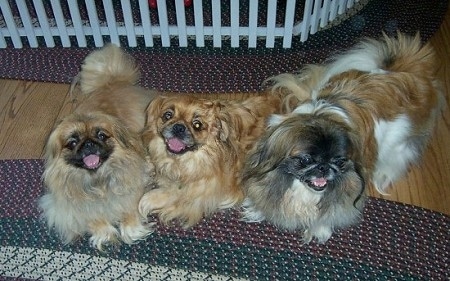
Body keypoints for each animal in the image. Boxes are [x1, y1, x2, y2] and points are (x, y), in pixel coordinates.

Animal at [38, 43, 159, 249]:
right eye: (73, 142)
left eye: (101, 135)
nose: (88, 144)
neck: (98, 180)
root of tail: (112, 82)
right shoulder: (66, 207)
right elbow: (91, 216)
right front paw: (104, 233)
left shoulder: (133, 184)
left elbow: (128, 207)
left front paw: (131, 229)